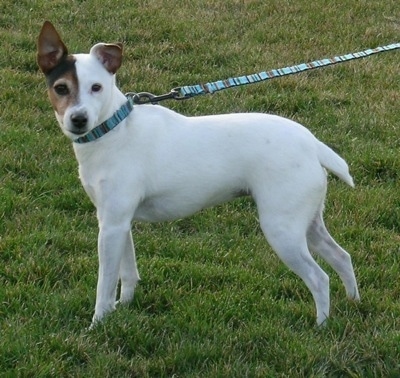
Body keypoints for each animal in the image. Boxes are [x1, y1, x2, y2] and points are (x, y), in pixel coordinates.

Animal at [36, 21, 360, 328]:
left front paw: (98, 323)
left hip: (282, 229)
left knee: (319, 278)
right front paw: (124, 307)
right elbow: (127, 273)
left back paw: (321, 326)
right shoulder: (116, 221)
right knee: (342, 257)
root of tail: (312, 143)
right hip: (306, 221)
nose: (79, 119)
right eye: (61, 88)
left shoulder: (112, 226)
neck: (113, 128)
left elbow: (104, 285)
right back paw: (354, 303)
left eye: (97, 87)